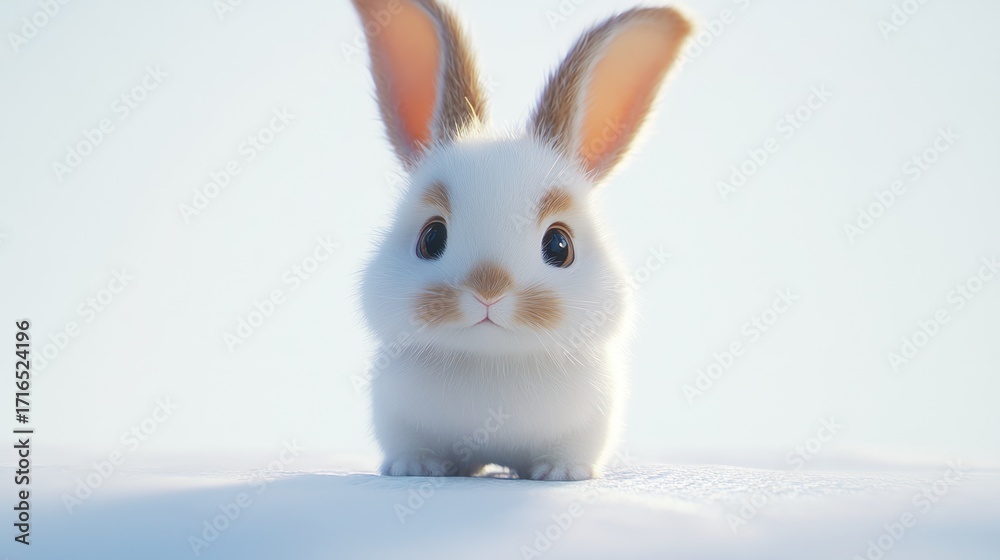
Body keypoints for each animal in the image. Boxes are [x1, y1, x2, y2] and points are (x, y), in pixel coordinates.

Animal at [351, 0, 691, 480]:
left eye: (560, 246)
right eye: (431, 238)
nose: (488, 289)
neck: (493, 362)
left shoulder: (591, 421)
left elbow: (569, 453)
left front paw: (561, 473)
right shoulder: (396, 415)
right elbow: (411, 445)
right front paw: (417, 467)